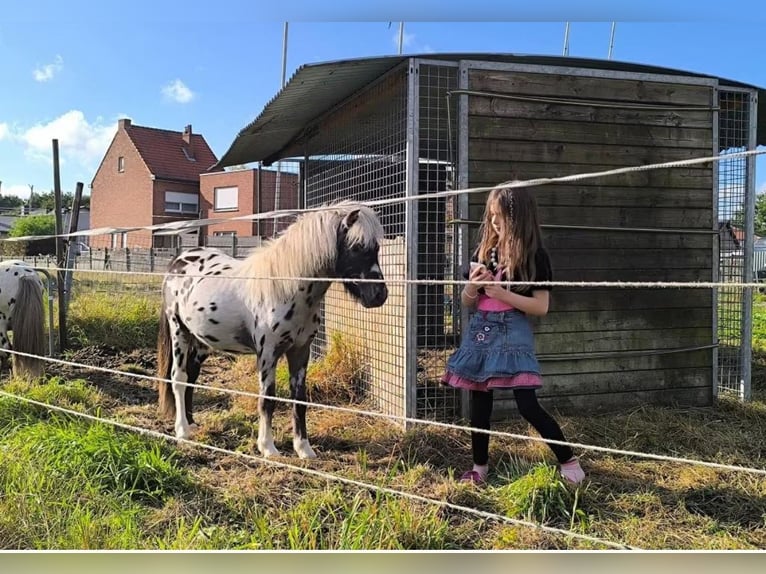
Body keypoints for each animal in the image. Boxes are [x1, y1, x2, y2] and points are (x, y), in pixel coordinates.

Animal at [156, 202, 388, 459]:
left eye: (376, 247)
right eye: (357, 247)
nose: (379, 296)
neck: (287, 288)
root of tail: (178, 260)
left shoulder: (300, 352)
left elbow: (299, 399)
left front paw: (304, 449)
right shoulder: (268, 353)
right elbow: (267, 399)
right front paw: (268, 448)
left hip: (201, 340)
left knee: (192, 375)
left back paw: (192, 423)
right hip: (179, 332)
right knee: (178, 378)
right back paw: (182, 431)